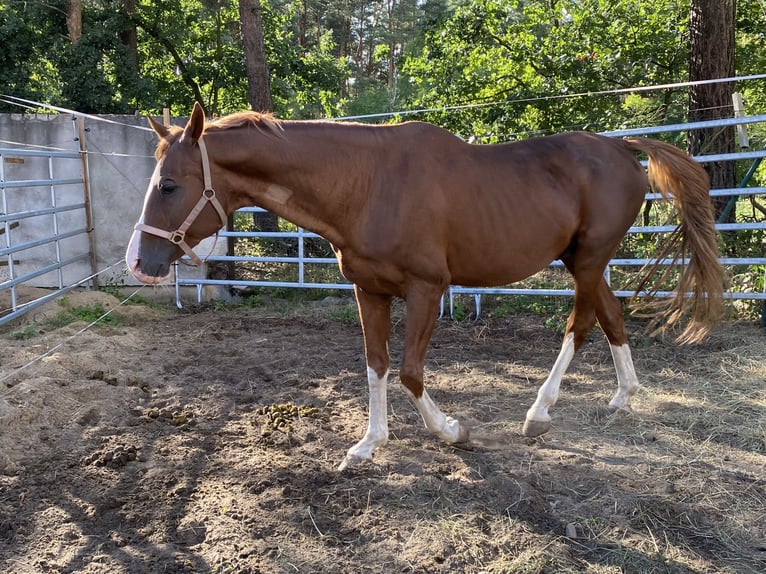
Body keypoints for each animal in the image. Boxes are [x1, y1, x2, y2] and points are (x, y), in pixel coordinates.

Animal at [126, 102, 725, 470]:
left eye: (169, 184)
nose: (139, 263)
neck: (366, 184)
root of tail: (622, 149)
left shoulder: (427, 290)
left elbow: (411, 372)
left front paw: (453, 431)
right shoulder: (368, 292)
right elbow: (376, 365)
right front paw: (367, 445)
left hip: (587, 261)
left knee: (579, 325)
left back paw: (538, 415)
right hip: (584, 261)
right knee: (611, 315)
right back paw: (622, 397)